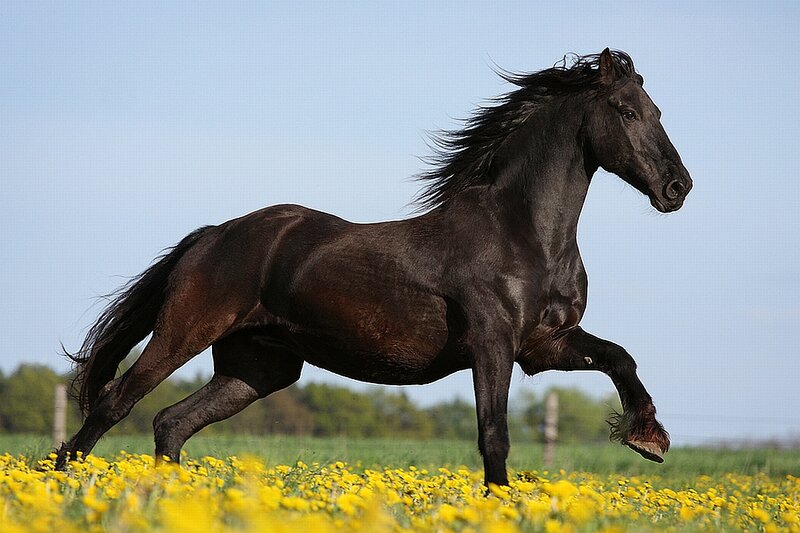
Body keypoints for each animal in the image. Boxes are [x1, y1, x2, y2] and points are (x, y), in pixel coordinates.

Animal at [57, 49, 691, 486]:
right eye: (627, 111)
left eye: (657, 110)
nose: (677, 188)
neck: (524, 235)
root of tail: (213, 236)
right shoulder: (494, 344)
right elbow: (494, 437)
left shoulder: (543, 345)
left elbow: (620, 358)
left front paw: (648, 438)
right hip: (182, 333)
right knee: (115, 404)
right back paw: (62, 482)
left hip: (257, 369)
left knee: (171, 423)